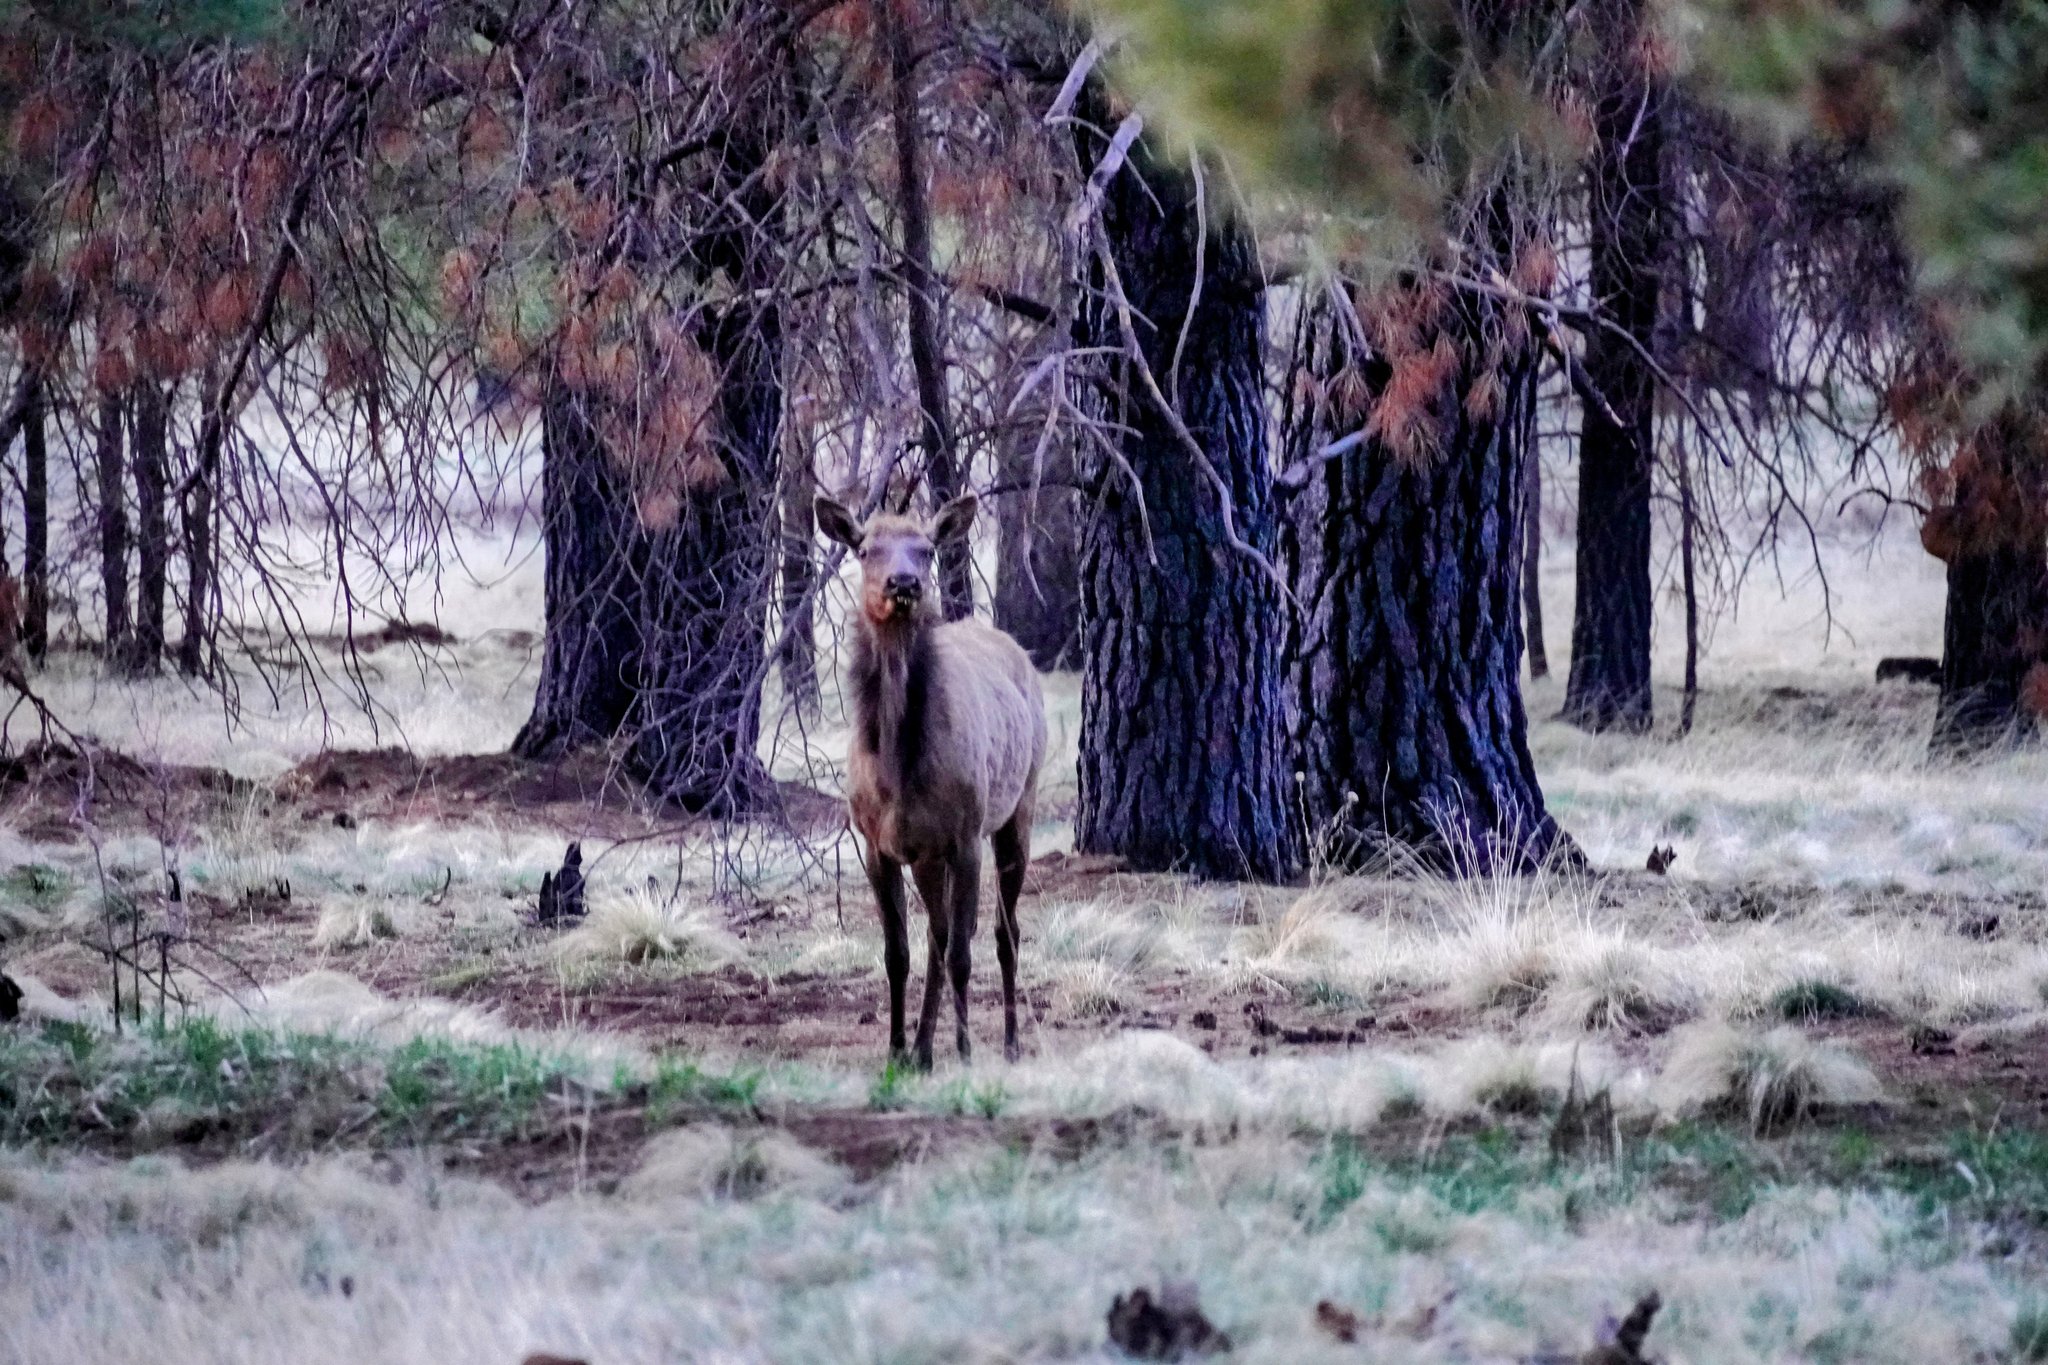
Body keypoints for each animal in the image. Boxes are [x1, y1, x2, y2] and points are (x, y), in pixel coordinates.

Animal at [816, 491, 1046, 1069]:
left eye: (925, 549)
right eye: (866, 549)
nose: (903, 583)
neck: (899, 772)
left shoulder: (965, 836)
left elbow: (963, 951)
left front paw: (964, 1052)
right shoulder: (877, 844)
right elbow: (898, 952)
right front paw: (897, 1050)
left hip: (1019, 806)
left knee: (1004, 932)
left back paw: (1009, 1044)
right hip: (926, 855)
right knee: (937, 936)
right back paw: (922, 1050)